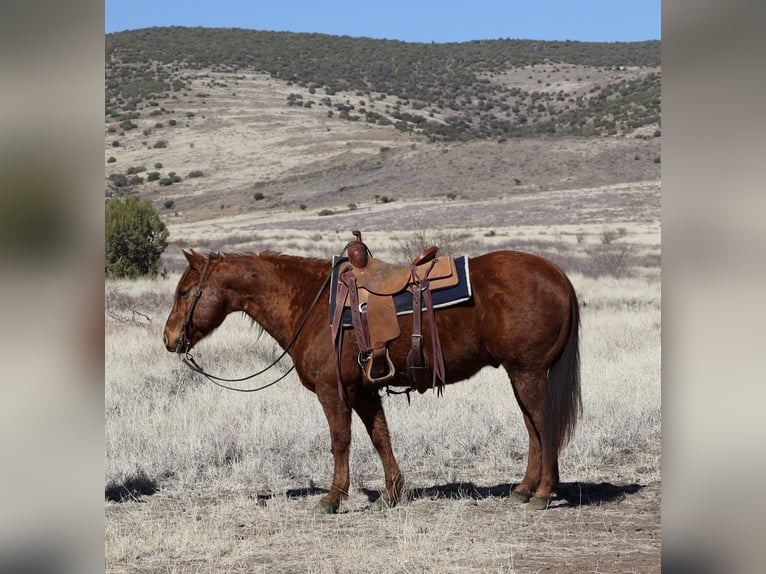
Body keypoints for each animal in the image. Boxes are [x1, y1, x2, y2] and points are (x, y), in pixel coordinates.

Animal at [164, 248, 584, 512]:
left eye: (184, 291)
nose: (169, 338)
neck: (313, 306)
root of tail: (557, 275)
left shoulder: (333, 392)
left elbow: (340, 442)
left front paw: (333, 497)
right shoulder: (363, 391)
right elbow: (381, 437)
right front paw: (391, 492)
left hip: (528, 373)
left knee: (543, 425)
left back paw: (543, 493)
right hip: (520, 374)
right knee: (533, 428)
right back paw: (525, 489)